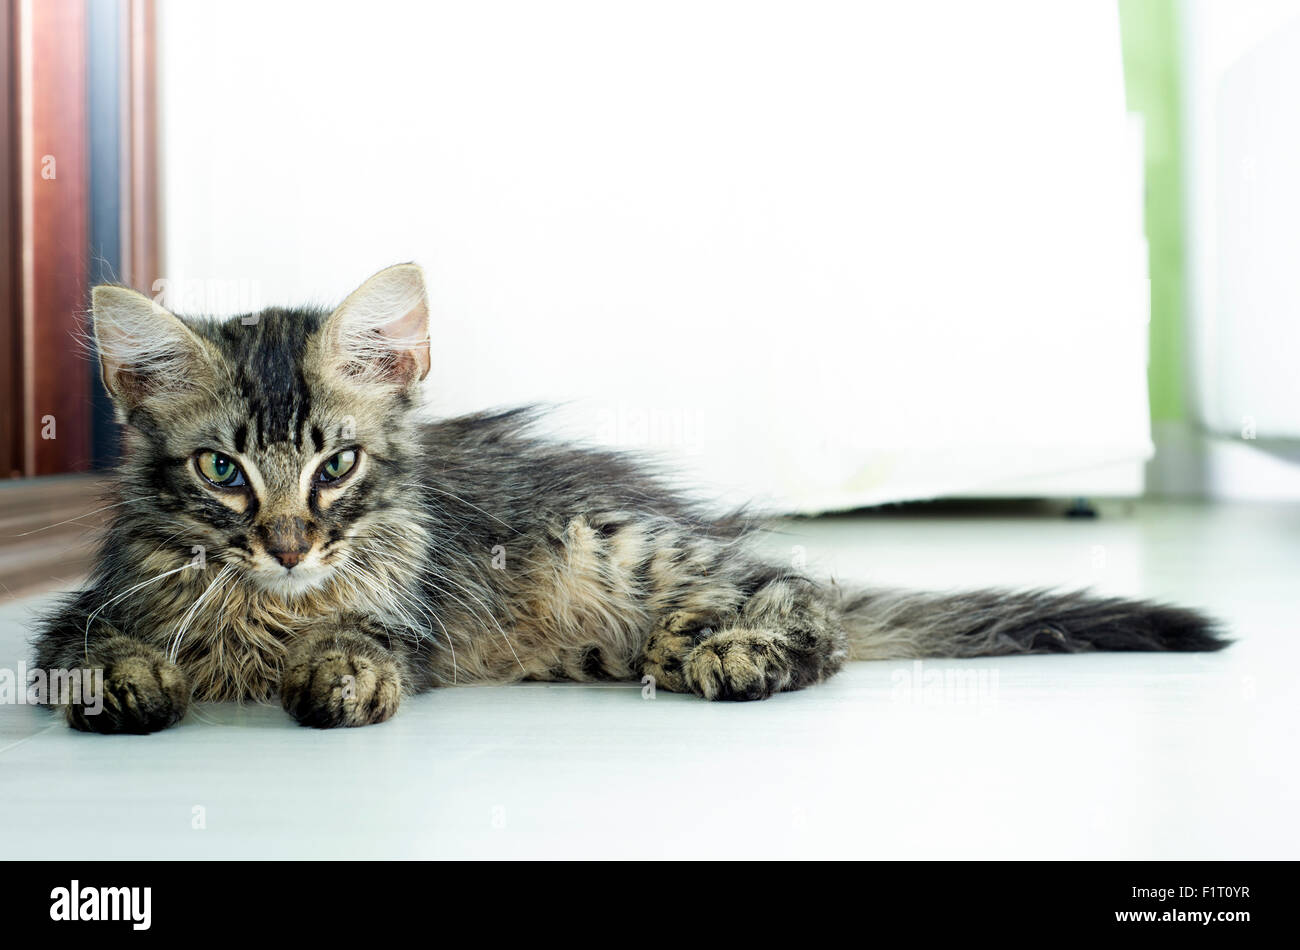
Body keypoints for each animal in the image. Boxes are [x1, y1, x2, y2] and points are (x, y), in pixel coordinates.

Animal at [32, 263, 1227, 732]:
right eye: (223, 473)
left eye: (338, 467)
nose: (287, 545)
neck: (268, 607)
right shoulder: (79, 617)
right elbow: (94, 653)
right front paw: (135, 687)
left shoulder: (402, 616)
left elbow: (361, 645)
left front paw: (335, 679)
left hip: (622, 549)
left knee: (808, 603)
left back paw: (737, 656)